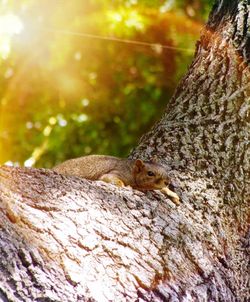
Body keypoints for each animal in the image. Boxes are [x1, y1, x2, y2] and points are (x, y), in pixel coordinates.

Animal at [52, 155, 180, 204]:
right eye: (150, 173)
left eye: (164, 169)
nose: (167, 182)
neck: (131, 170)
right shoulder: (116, 172)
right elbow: (110, 178)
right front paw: (123, 185)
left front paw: (171, 193)